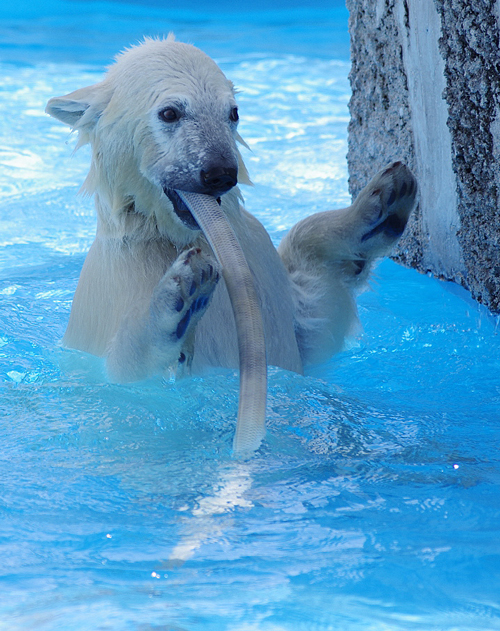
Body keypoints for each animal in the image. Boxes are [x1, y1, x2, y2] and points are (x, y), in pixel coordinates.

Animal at [47, 37, 416, 386]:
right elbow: (129, 370)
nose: (220, 173)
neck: (177, 233)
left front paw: (383, 202)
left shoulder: (258, 262)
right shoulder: (119, 288)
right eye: (170, 112)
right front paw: (181, 293)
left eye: (233, 113)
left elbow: (311, 322)